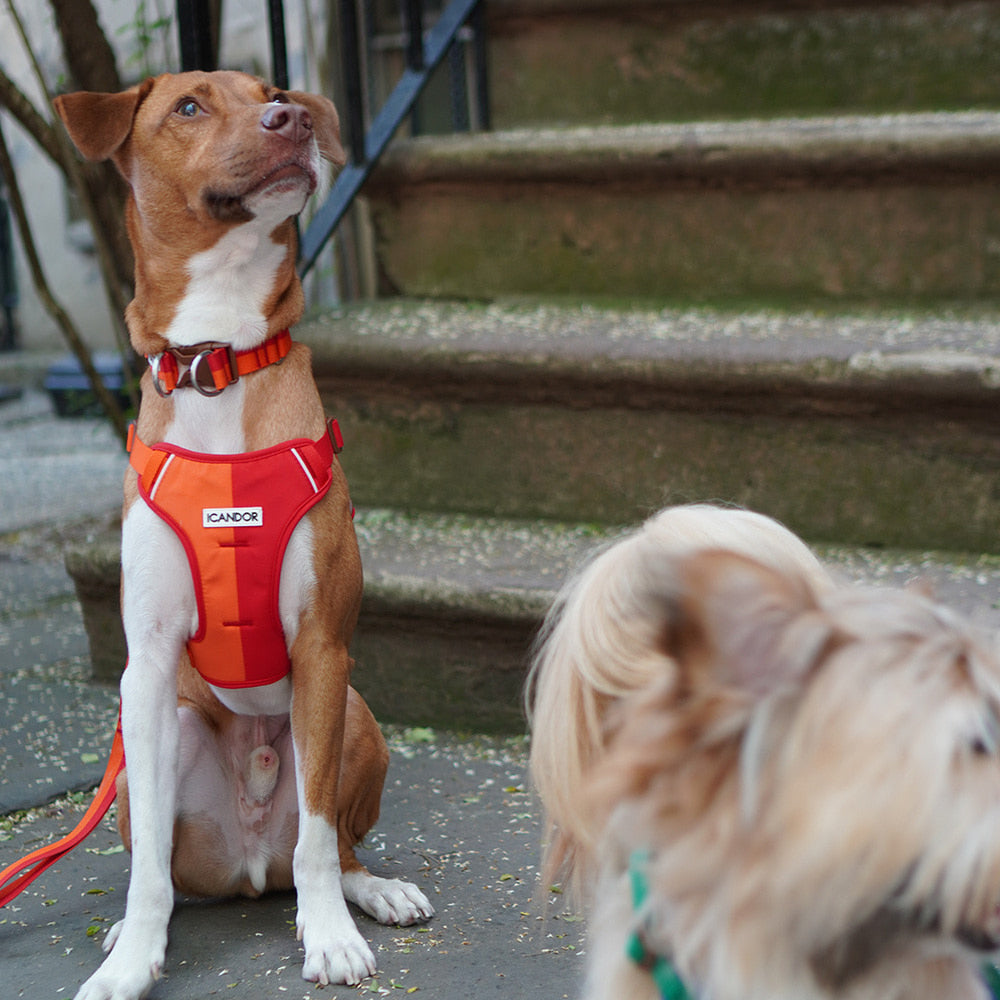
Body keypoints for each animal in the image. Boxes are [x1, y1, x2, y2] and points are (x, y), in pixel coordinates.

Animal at [52, 72, 432, 1000]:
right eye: (189, 106)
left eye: (274, 91)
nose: (290, 118)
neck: (218, 356)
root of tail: (249, 864)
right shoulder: (148, 663)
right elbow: (149, 867)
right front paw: (132, 960)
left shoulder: (323, 648)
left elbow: (321, 839)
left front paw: (329, 938)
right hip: (145, 744)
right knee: (167, 863)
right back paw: (130, 930)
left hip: (356, 714)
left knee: (330, 845)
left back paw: (372, 889)